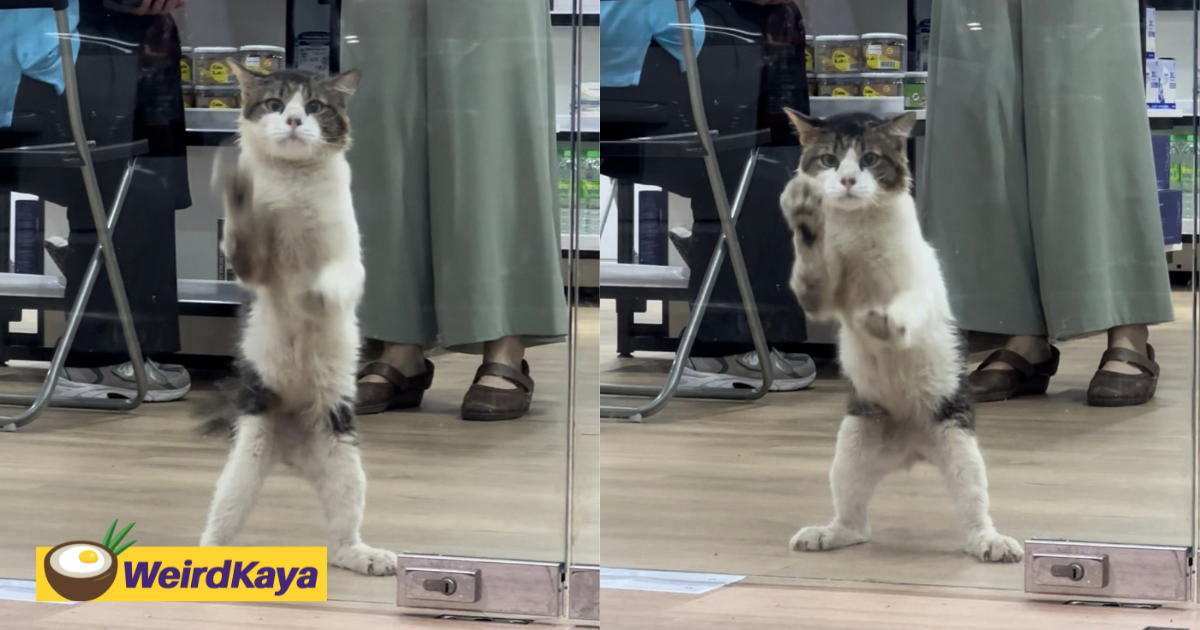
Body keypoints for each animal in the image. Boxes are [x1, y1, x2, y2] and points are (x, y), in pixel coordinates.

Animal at [198, 61, 398, 578]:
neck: (292, 187)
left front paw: (314, 291)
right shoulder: (252, 267)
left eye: (314, 106)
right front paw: (236, 190)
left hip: (344, 461)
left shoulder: (349, 258)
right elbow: (245, 239)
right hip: (243, 463)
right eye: (274, 103)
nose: (291, 121)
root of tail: (290, 451)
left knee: (341, 538)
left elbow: (335, 281)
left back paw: (366, 555)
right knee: (219, 524)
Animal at [777, 110, 1022, 561]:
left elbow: (905, 308)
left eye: (869, 159)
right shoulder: (818, 297)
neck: (857, 231)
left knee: (974, 513)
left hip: (961, 448)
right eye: (829, 160)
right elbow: (811, 270)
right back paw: (827, 534)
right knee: (856, 523)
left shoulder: (919, 288)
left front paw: (882, 322)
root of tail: (912, 448)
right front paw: (803, 214)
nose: (848, 180)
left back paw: (991, 542)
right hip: (851, 446)